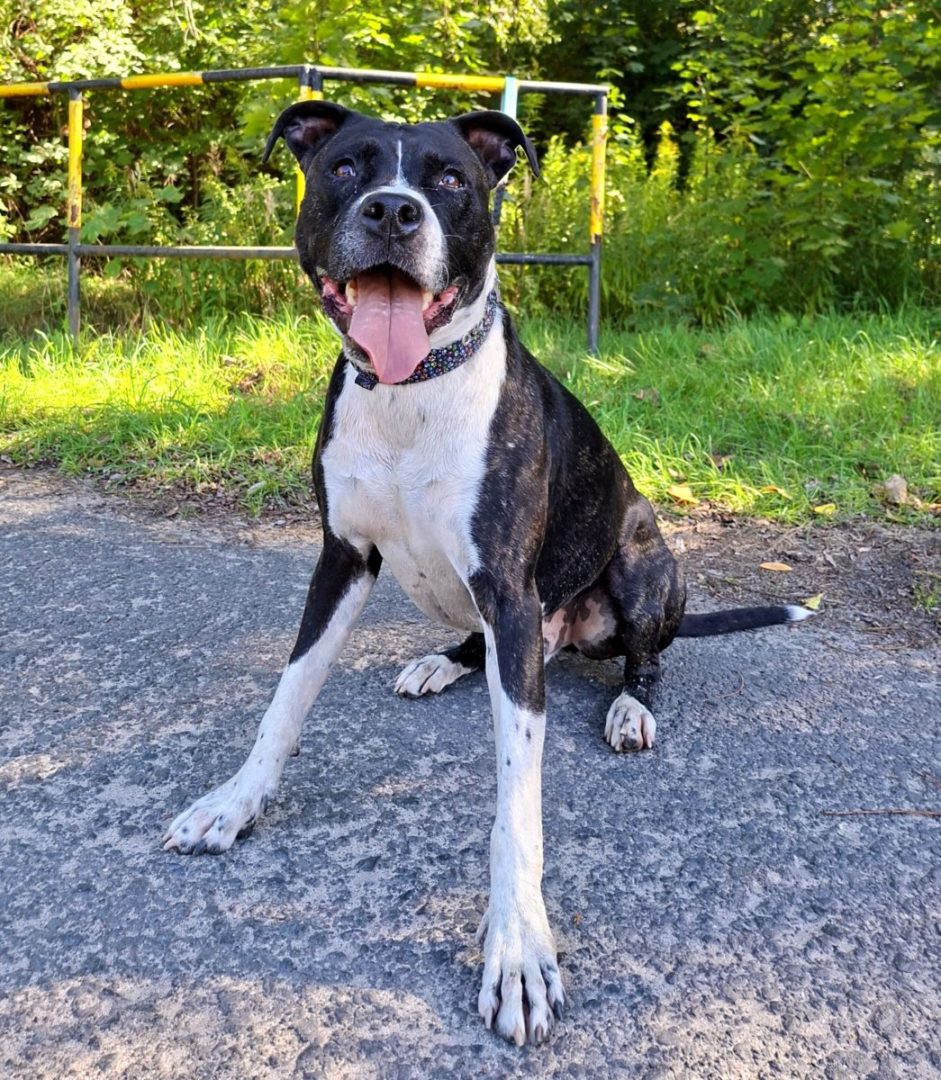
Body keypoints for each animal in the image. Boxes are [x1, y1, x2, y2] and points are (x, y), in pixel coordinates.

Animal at [163, 102, 811, 1046]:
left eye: (449, 179)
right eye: (345, 168)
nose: (392, 212)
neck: (411, 391)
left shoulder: (508, 590)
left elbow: (516, 811)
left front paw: (516, 950)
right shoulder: (341, 559)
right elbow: (283, 702)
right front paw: (235, 803)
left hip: (640, 563)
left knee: (646, 656)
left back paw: (628, 706)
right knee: (481, 647)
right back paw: (444, 662)